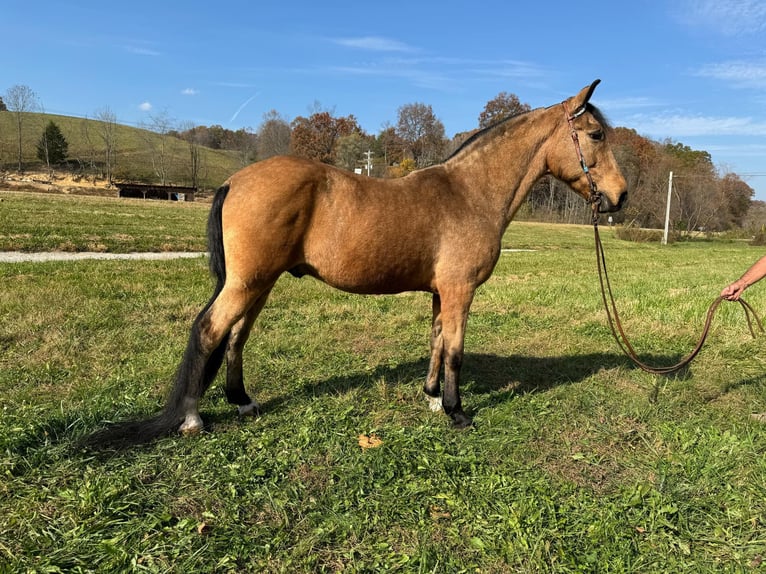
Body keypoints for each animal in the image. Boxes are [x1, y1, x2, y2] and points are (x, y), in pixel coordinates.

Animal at [90, 80, 632, 446]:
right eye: (595, 134)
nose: (621, 196)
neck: (469, 192)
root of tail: (235, 180)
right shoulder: (460, 291)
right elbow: (455, 351)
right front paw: (457, 412)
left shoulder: (442, 293)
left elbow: (436, 342)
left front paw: (431, 396)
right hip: (247, 282)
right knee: (209, 330)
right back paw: (192, 419)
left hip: (259, 283)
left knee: (237, 335)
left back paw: (242, 401)